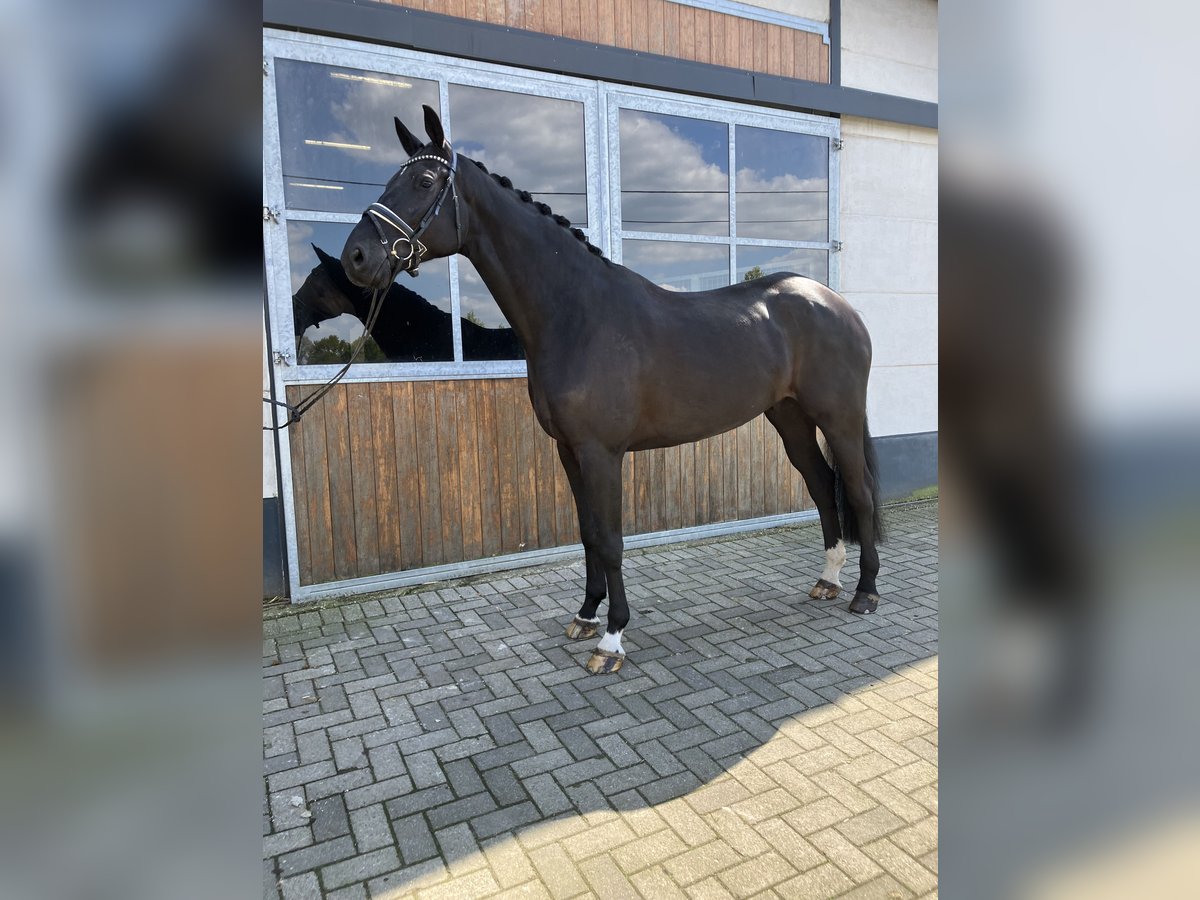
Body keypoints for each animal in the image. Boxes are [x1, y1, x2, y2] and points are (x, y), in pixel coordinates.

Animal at [339, 105, 884, 675]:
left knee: (859, 492)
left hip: (840, 419)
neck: (577, 315)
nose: (355, 257)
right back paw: (827, 580)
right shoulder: (569, 450)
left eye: (424, 182)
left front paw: (612, 638)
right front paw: (585, 615)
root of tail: (837, 304)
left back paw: (864, 592)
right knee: (821, 485)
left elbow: (610, 539)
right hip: (791, 418)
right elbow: (587, 534)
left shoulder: (602, 452)